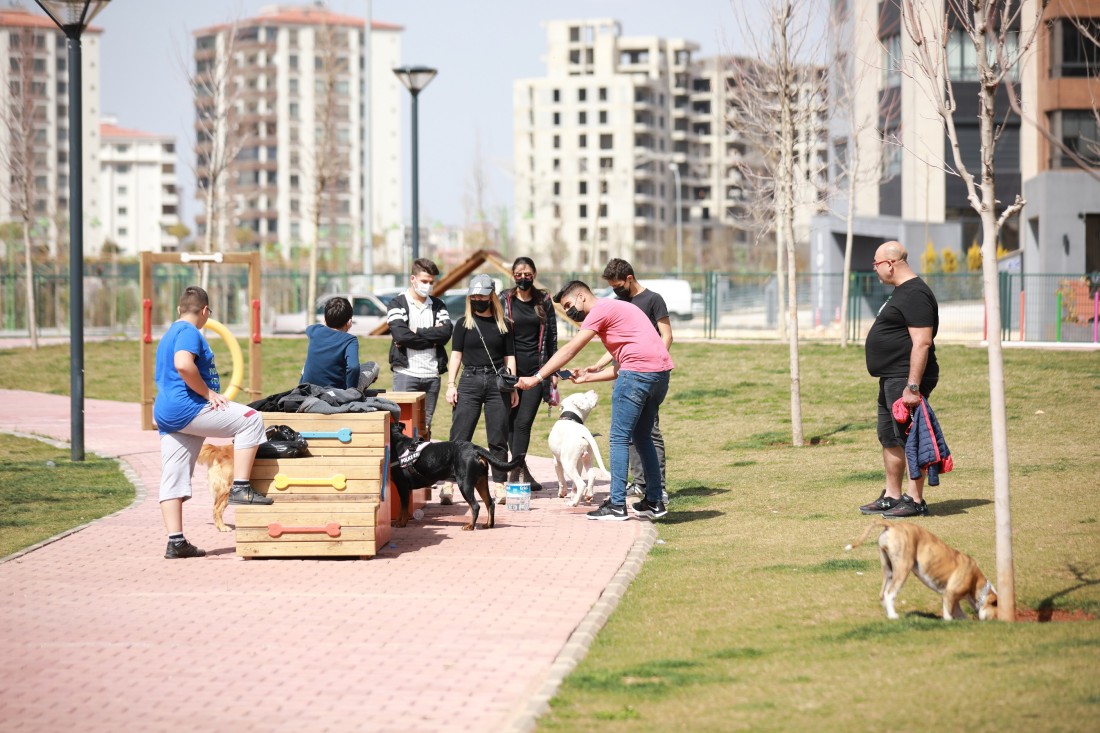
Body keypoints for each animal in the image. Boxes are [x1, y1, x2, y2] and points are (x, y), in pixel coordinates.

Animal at [387, 420, 523, 528]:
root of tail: (475, 448)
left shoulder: (402, 486)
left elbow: (403, 508)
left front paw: (401, 523)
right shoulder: (405, 489)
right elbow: (403, 507)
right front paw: (399, 521)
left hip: (465, 484)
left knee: (475, 506)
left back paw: (470, 526)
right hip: (481, 482)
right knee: (490, 503)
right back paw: (488, 524)